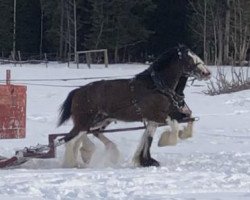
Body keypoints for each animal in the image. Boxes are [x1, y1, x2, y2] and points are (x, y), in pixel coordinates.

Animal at [57, 45, 210, 167]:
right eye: (189, 58)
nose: (207, 73)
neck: (157, 87)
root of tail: (78, 91)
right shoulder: (158, 115)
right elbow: (174, 128)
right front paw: (164, 141)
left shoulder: (157, 119)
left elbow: (150, 138)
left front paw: (146, 160)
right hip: (85, 121)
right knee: (69, 139)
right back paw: (73, 162)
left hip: (99, 121)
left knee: (84, 136)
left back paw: (87, 155)